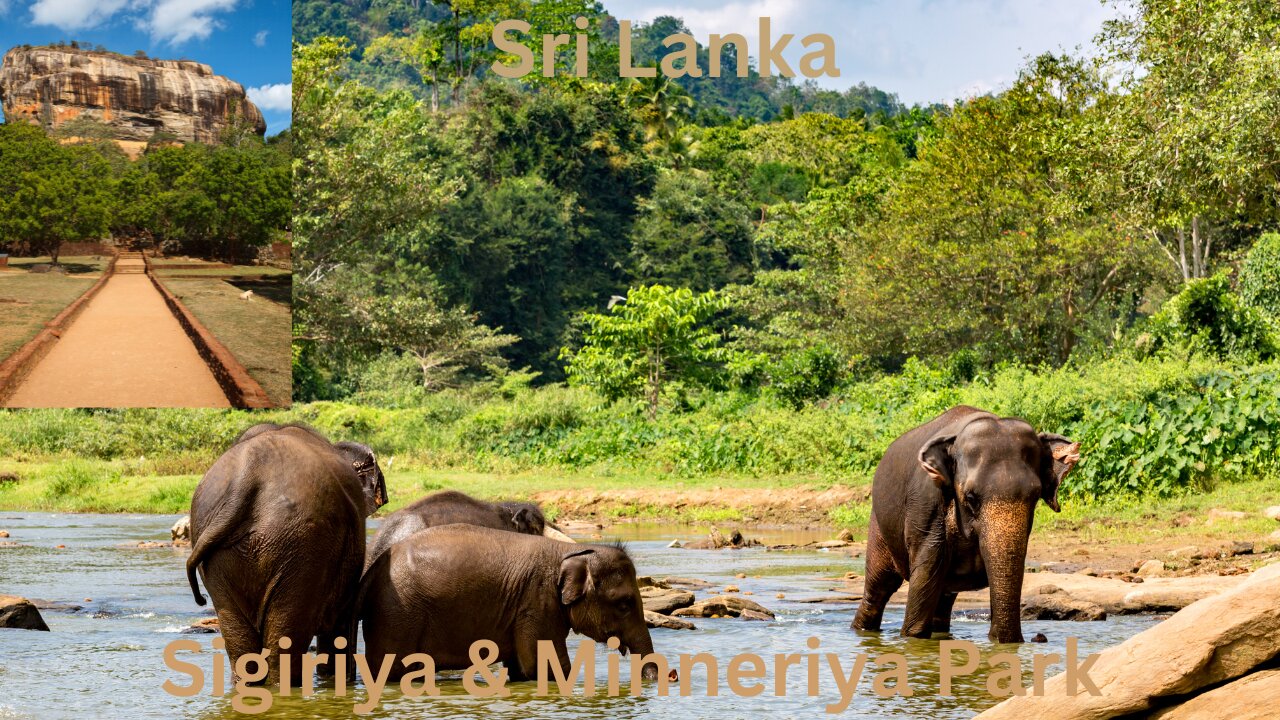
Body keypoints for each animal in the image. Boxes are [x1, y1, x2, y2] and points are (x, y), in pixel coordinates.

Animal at [358, 520, 660, 676]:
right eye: (624, 604)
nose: (661, 676)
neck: (566, 552)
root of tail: (374, 566)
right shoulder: (536, 601)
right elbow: (543, 664)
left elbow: (520, 666)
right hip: (397, 613)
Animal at [849, 404, 1080, 638]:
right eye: (970, 498)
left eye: (1034, 497)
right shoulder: (926, 503)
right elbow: (924, 578)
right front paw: (912, 637)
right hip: (879, 524)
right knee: (879, 587)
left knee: (942, 601)